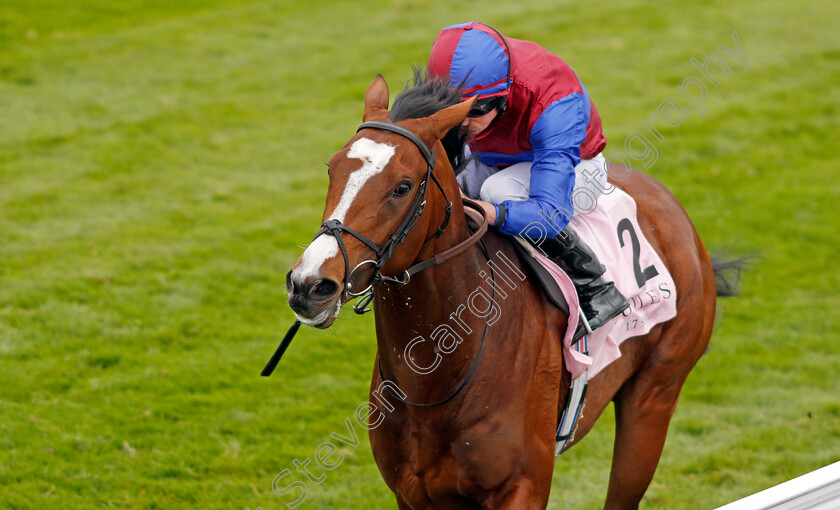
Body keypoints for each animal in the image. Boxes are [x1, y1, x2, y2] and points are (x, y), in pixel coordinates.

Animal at [286, 72, 732, 510]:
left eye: (402, 186)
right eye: (332, 170)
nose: (310, 284)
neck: (437, 376)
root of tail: (671, 207)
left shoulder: (521, 487)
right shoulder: (413, 494)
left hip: (653, 397)